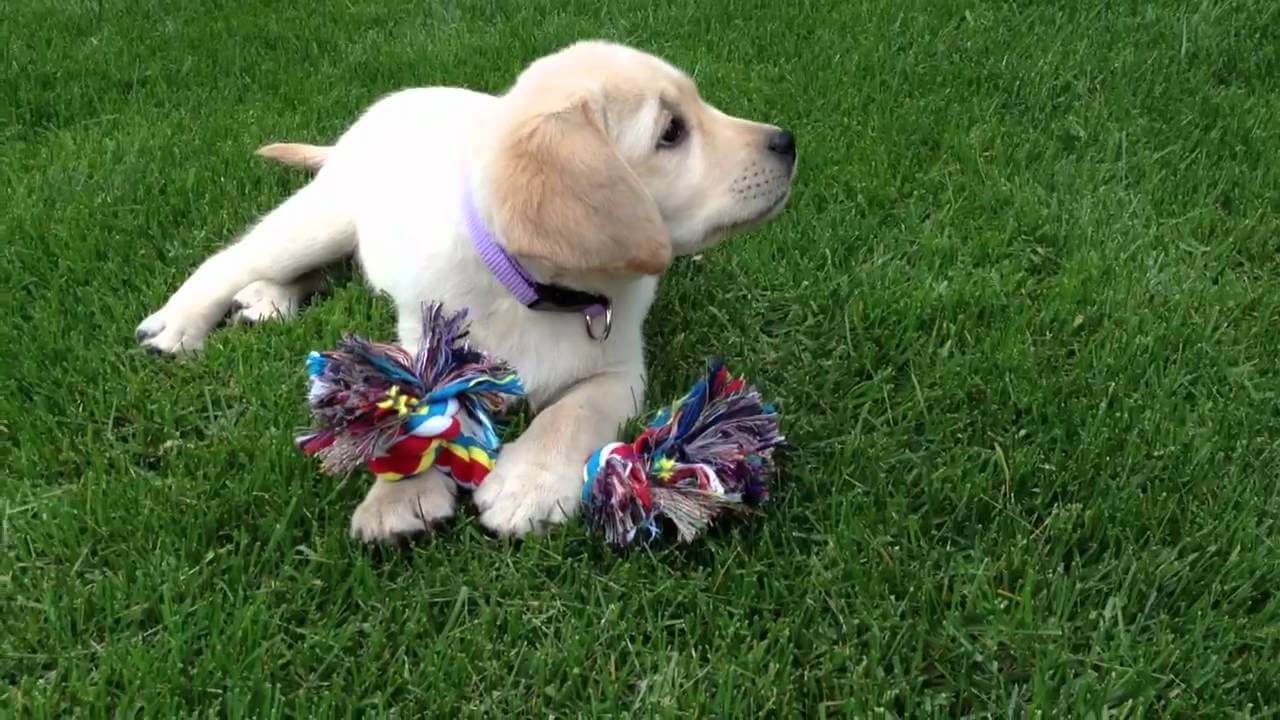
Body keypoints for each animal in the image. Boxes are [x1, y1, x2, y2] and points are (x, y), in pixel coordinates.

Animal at [140, 40, 798, 538]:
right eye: (671, 132)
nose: (787, 141)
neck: (536, 291)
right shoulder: (426, 343)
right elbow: (415, 408)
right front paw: (397, 495)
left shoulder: (619, 367)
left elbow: (572, 412)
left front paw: (528, 482)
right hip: (324, 216)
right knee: (232, 259)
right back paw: (182, 322)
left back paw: (267, 298)